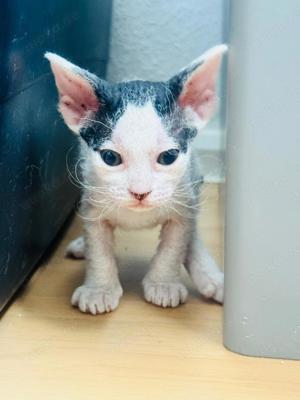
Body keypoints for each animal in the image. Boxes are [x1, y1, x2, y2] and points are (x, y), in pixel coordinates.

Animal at [45, 43, 226, 312]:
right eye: (110, 158)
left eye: (168, 157)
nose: (140, 192)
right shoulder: (93, 204)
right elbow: (98, 247)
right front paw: (99, 289)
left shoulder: (183, 205)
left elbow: (174, 245)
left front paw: (163, 284)